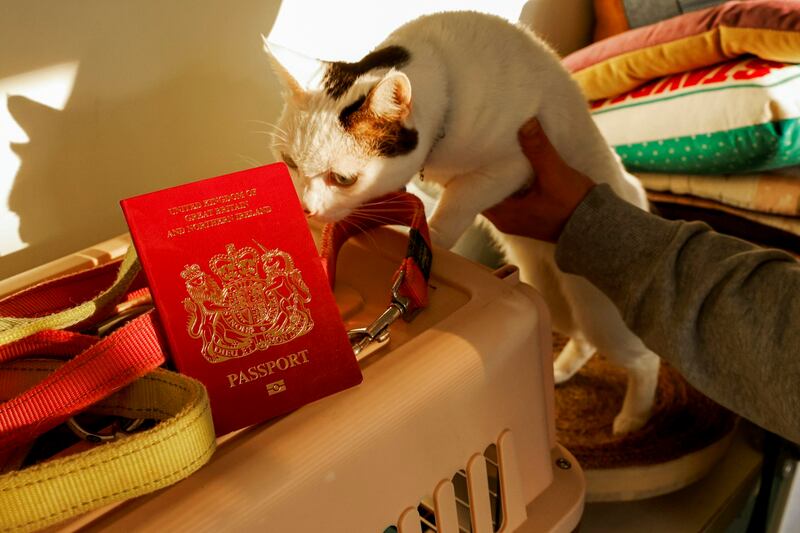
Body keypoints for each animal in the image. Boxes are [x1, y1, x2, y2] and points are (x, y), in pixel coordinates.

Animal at [266, 10, 660, 432]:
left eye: (342, 179)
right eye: (289, 162)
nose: (306, 208)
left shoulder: (511, 166)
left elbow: (458, 201)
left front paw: (430, 239)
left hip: (600, 312)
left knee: (644, 359)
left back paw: (633, 418)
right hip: (555, 300)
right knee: (583, 339)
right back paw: (559, 371)